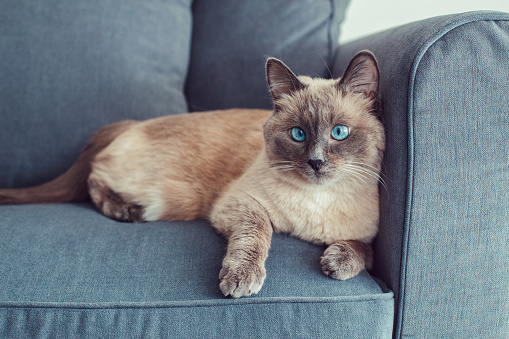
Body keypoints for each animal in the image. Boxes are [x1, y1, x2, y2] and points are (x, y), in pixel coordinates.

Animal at [0, 50, 382, 298]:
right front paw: (240, 281)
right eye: (298, 134)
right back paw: (125, 211)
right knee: (94, 180)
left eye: (339, 133)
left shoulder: (368, 235)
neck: (316, 201)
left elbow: (365, 250)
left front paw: (336, 263)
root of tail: (132, 123)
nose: (316, 163)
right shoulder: (241, 203)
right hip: (169, 198)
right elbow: (257, 235)